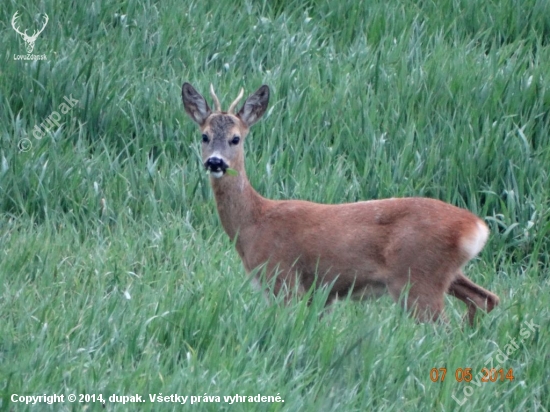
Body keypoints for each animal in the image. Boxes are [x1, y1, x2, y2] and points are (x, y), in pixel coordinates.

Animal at [181, 81, 500, 326]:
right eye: (204, 136)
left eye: (236, 138)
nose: (215, 162)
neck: (253, 223)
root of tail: (476, 226)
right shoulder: (319, 294)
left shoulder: (283, 276)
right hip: (445, 274)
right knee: (486, 298)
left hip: (417, 278)